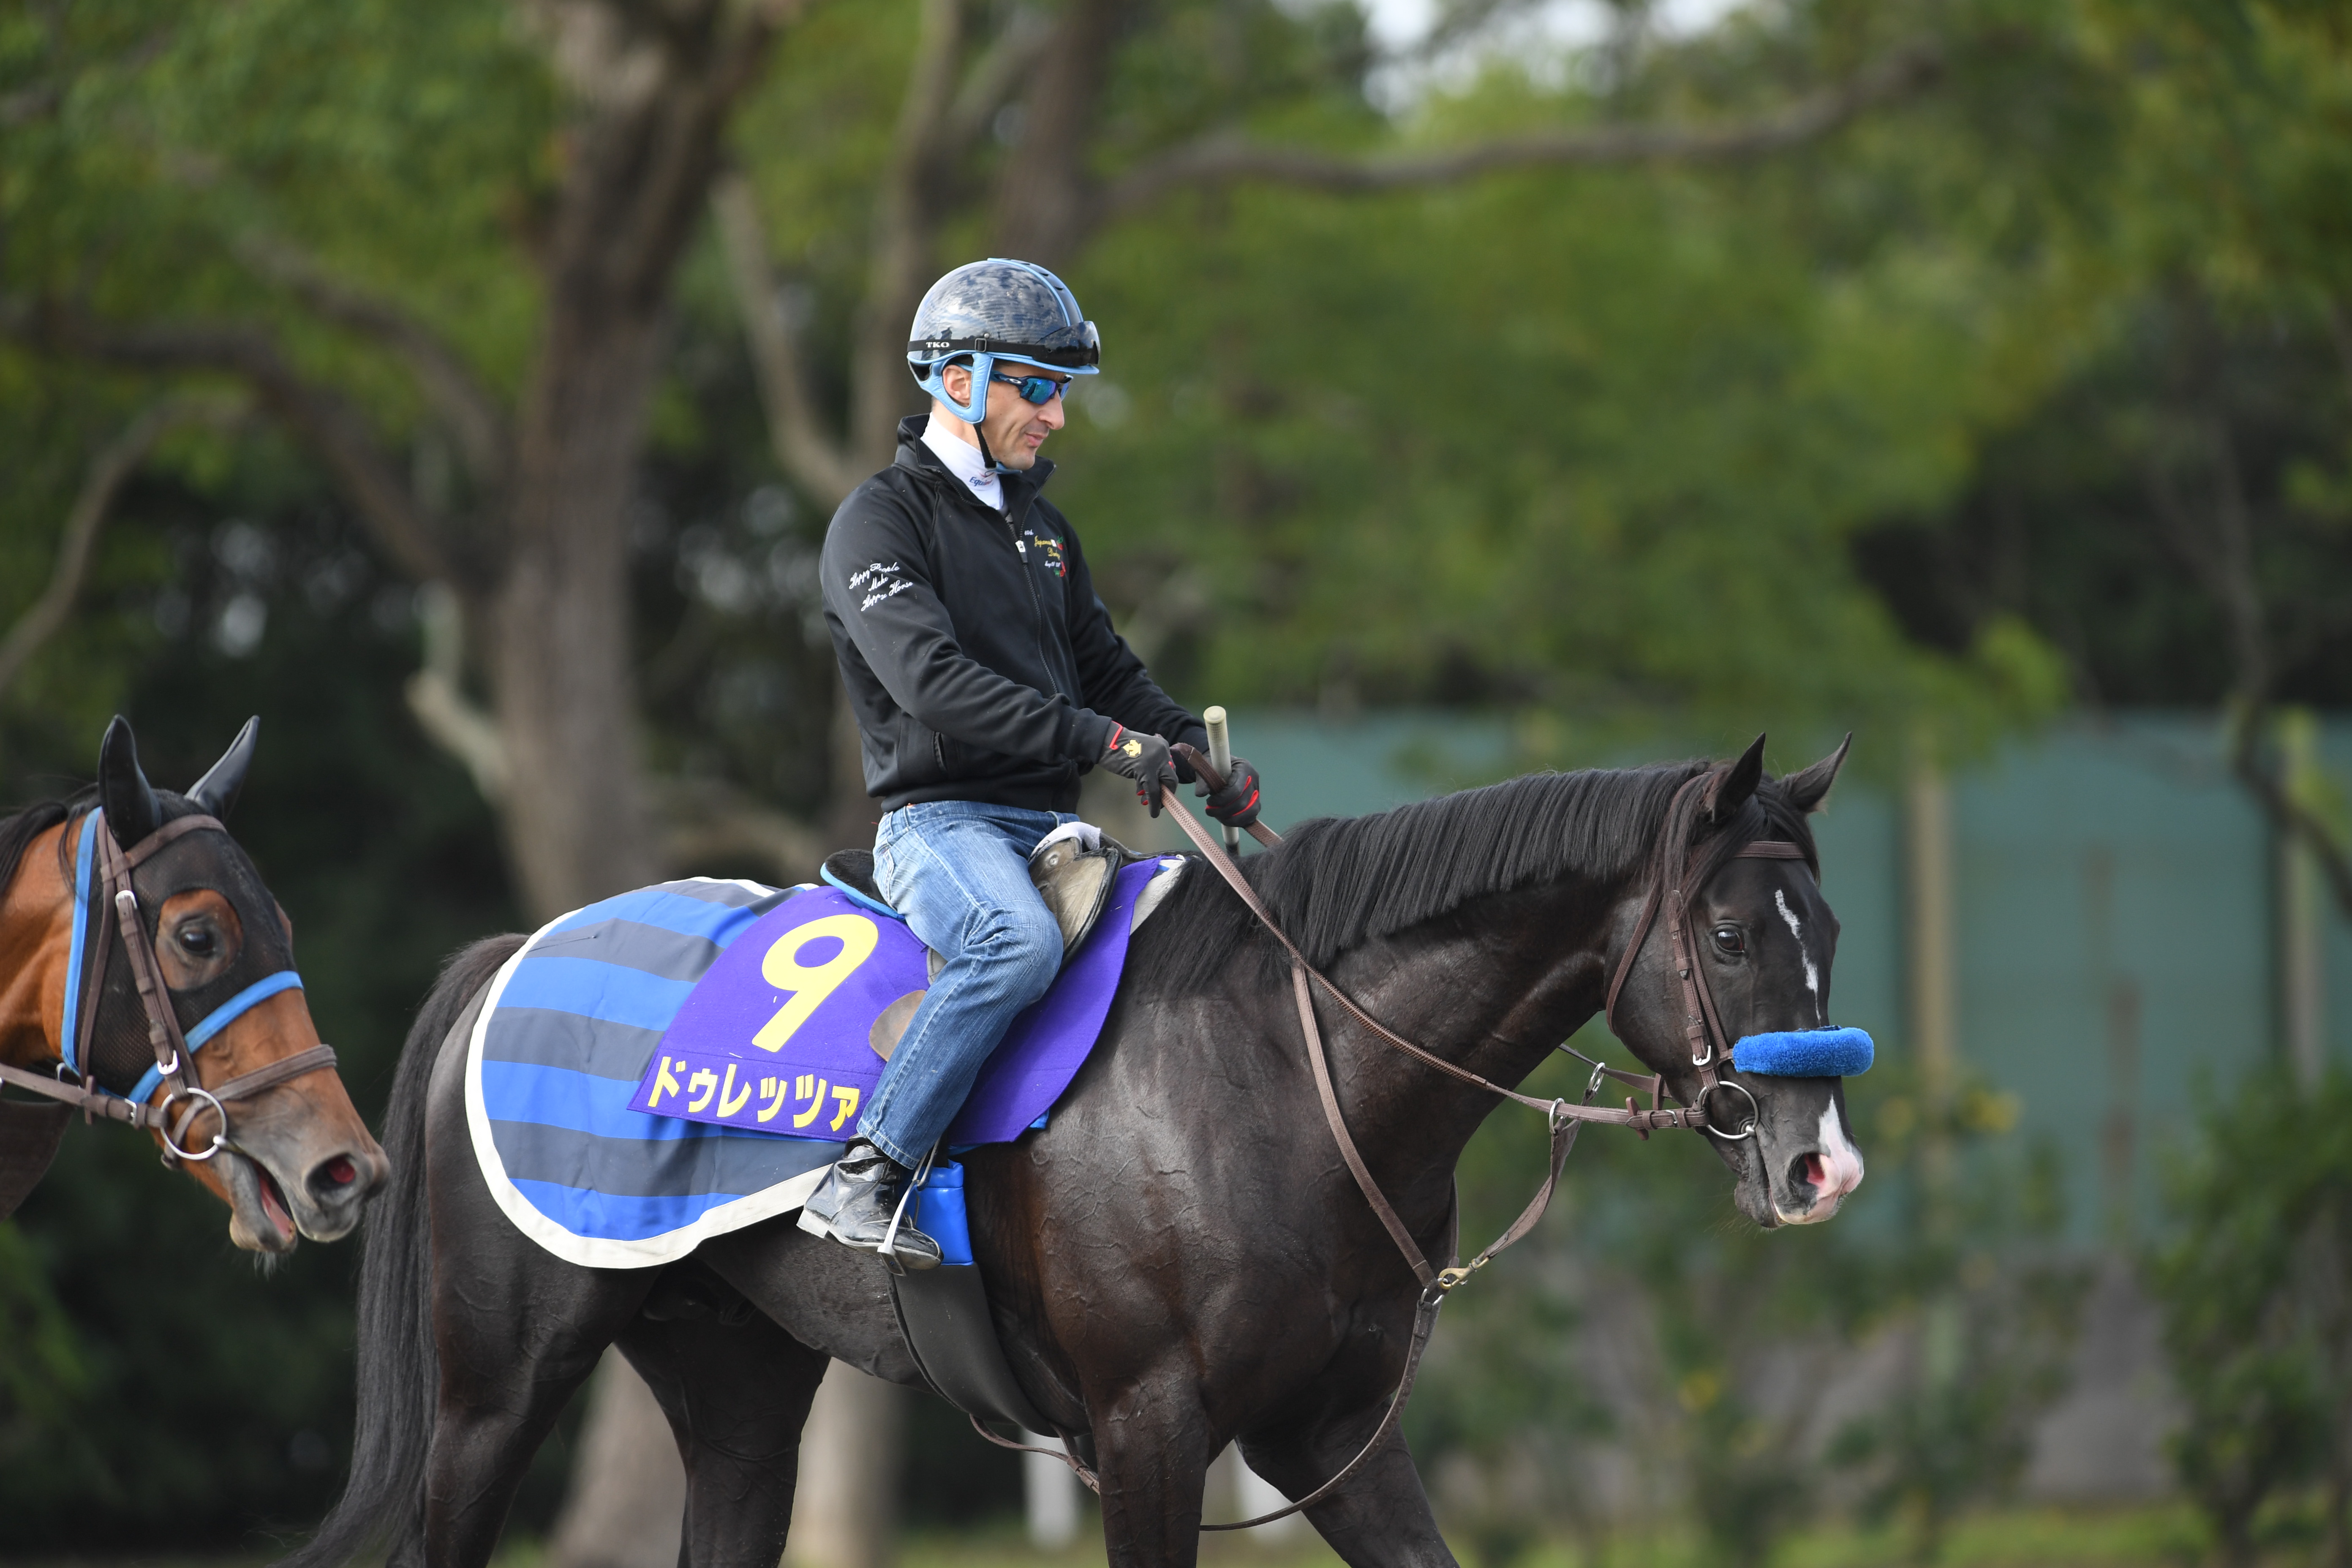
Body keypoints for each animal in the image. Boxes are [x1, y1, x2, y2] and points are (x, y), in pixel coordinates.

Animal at [303, 738, 1862, 1568]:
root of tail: (517, 951)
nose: (1820, 1165)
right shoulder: (1145, 1428)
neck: (1287, 1071)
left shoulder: (1334, 1434)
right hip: (496, 1393)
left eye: (1830, 931)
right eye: (1731, 934)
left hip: (737, 1393)